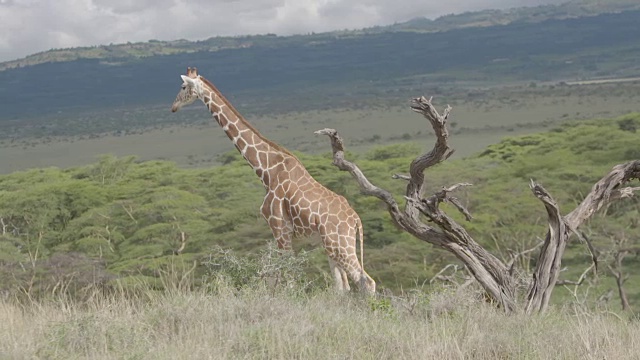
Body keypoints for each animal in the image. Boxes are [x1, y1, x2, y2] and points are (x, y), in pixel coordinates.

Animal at [172, 68, 378, 296]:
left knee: (366, 282)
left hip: (339, 244)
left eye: (183, 86)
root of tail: (356, 220)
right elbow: (278, 278)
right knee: (343, 287)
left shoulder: (279, 228)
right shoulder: (280, 232)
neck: (266, 171)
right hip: (331, 245)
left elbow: (288, 279)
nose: (173, 107)